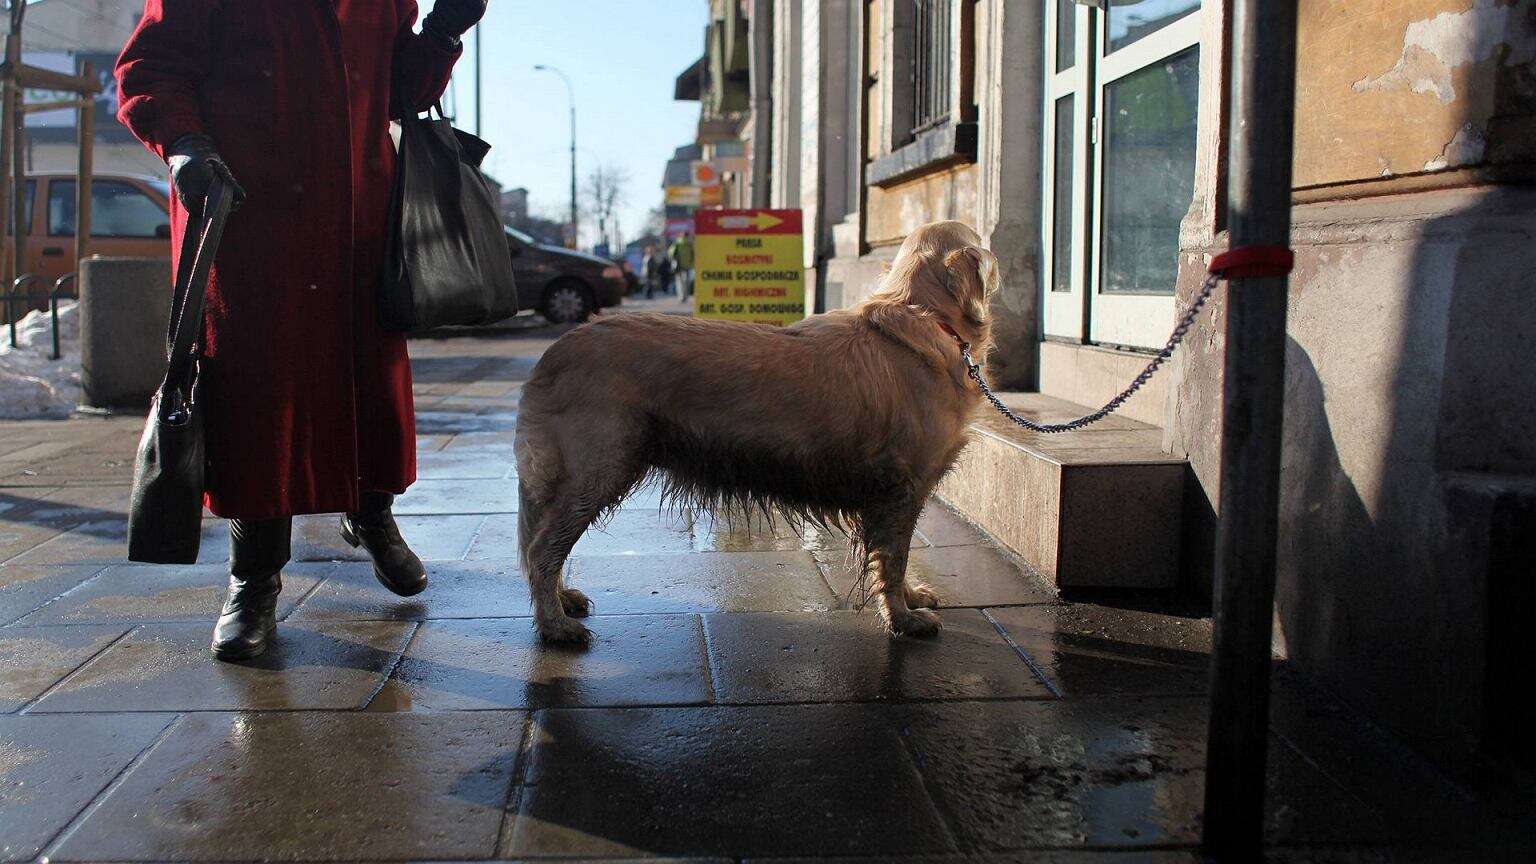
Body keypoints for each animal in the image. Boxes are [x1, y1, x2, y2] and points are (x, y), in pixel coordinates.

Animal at [516, 218, 995, 642]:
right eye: (981, 240)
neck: (926, 318)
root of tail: (556, 350)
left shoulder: (895, 495)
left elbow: (893, 558)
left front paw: (911, 597)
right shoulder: (901, 487)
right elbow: (893, 559)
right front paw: (902, 617)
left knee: (541, 542)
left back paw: (562, 600)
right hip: (597, 469)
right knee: (542, 549)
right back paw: (555, 625)